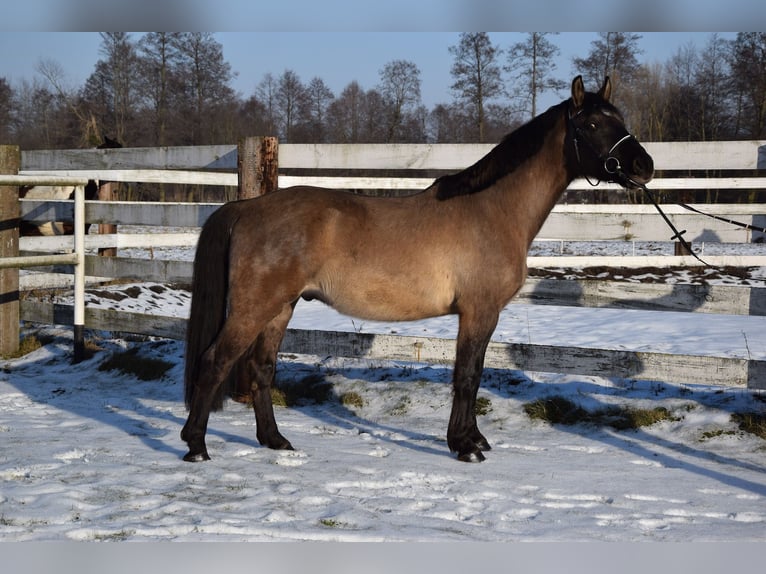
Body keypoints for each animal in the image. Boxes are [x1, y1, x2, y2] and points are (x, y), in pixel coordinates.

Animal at [181, 76, 654, 463]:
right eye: (591, 125)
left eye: (620, 118)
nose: (643, 166)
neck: (493, 210)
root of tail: (246, 208)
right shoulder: (479, 311)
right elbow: (467, 376)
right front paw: (465, 446)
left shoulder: (481, 315)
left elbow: (473, 374)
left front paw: (473, 439)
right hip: (253, 308)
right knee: (215, 361)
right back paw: (197, 446)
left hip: (280, 307)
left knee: (262, 368)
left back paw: (275, 441)